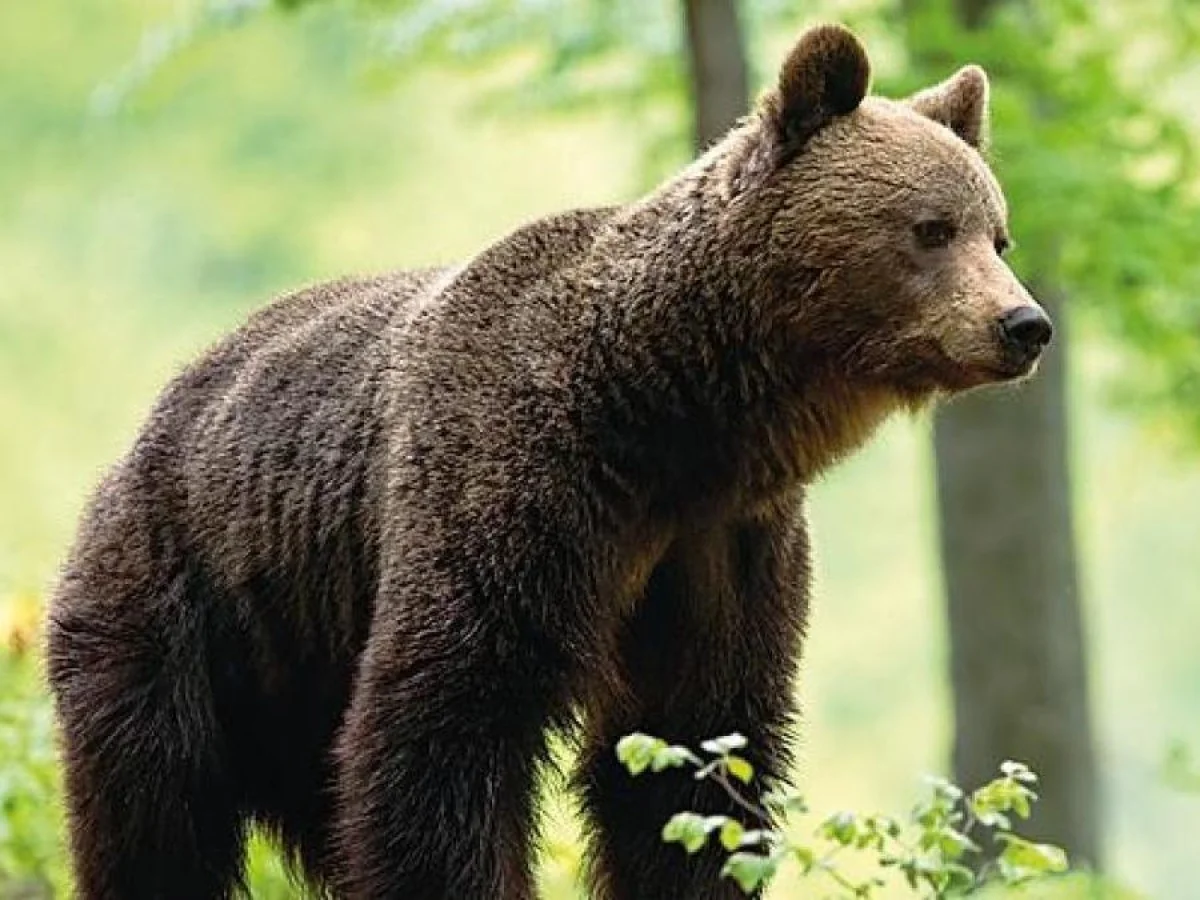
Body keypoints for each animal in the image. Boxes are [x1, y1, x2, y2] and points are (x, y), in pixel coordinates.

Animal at [46, 23, 1051, 900]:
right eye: (932, 227)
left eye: (998, 233)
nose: (1024, 324)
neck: (675, 416)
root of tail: (152, 420)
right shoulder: (519, 488)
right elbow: (445, 727)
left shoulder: (723, 547)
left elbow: (695, 758)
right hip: (183, 607)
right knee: (156, 812)